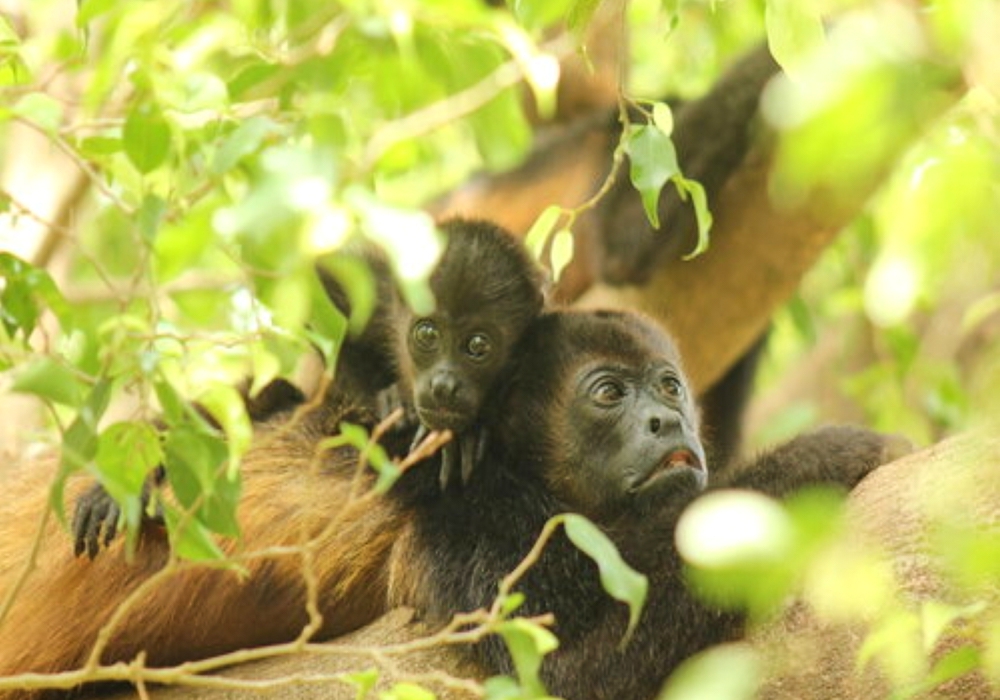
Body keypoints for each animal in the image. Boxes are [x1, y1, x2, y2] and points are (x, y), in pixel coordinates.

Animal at [386, 312, 912, 700]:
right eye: (609, 393)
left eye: (669, 387)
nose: (668, 420)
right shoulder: (472, 519)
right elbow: (573, 670)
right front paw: (824, 453)